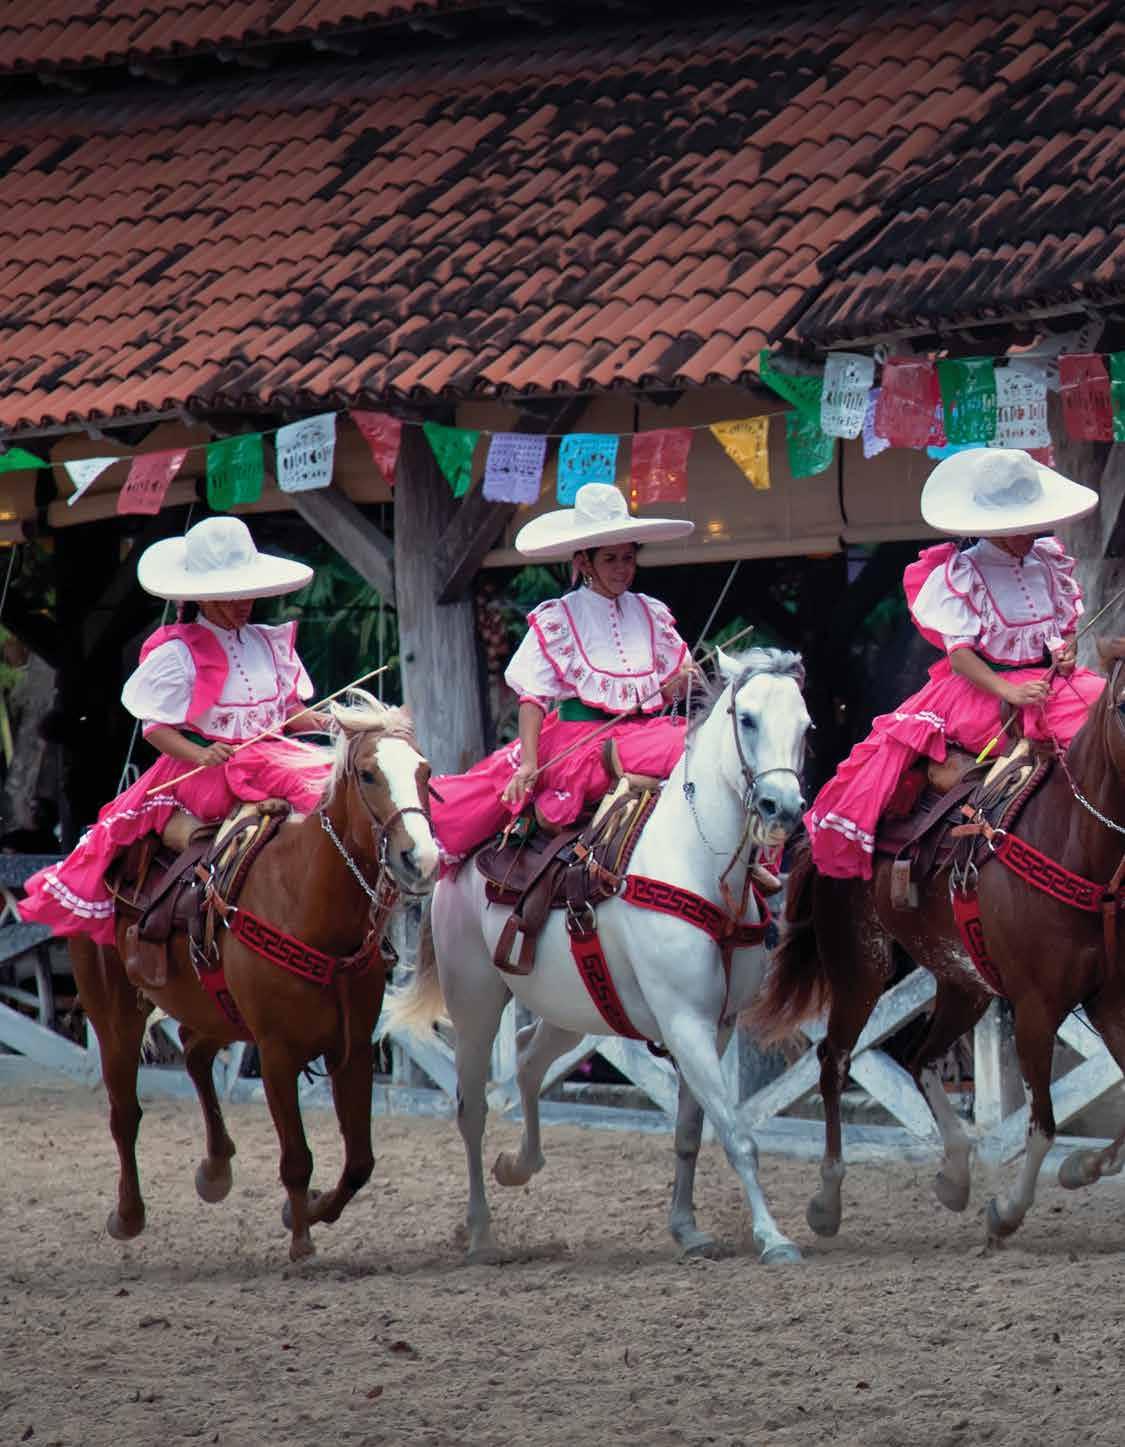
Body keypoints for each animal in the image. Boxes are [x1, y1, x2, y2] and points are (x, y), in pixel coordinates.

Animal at [70, 693, 439, 1262]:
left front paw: (309, 1211)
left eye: (424, 771)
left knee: (194, 1052)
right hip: (113, 1014)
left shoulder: (352, 1049)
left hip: (215, 1011)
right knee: (124, 1112)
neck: (306, 899)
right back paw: (128, 1215)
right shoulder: (276, 1052)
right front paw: (302, 1242)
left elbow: (360, 1161)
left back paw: (215, 1169)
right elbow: (297, 1158)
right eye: (368, 773)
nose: (421, 858)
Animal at [387, 647, 812, 1265]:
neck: (699, 863)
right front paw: (773, 1238)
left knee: (528, 1060)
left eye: (806, 726)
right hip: (476, 1004)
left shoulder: (719, 1024)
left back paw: (519, 1164)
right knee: (472, 1107)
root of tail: (456, 863)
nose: (783, 808)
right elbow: (737, 1135)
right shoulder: (685, 1022)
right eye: (749, 719)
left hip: (572, 1008)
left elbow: (692, 1131)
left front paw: (687, 1227)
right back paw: (481, 1231)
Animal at [751, 641, 1125, 1248]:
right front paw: (1007, 1211)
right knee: (834, 1060)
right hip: (861, 967)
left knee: (921, 1057)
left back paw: (954, 1176)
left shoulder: (1109, 999)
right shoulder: (1036, 1008)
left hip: (963, 981)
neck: (1074, 845)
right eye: (1123, 706)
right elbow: (1043, 1125)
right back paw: (827, 1201)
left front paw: (1080, 1168)